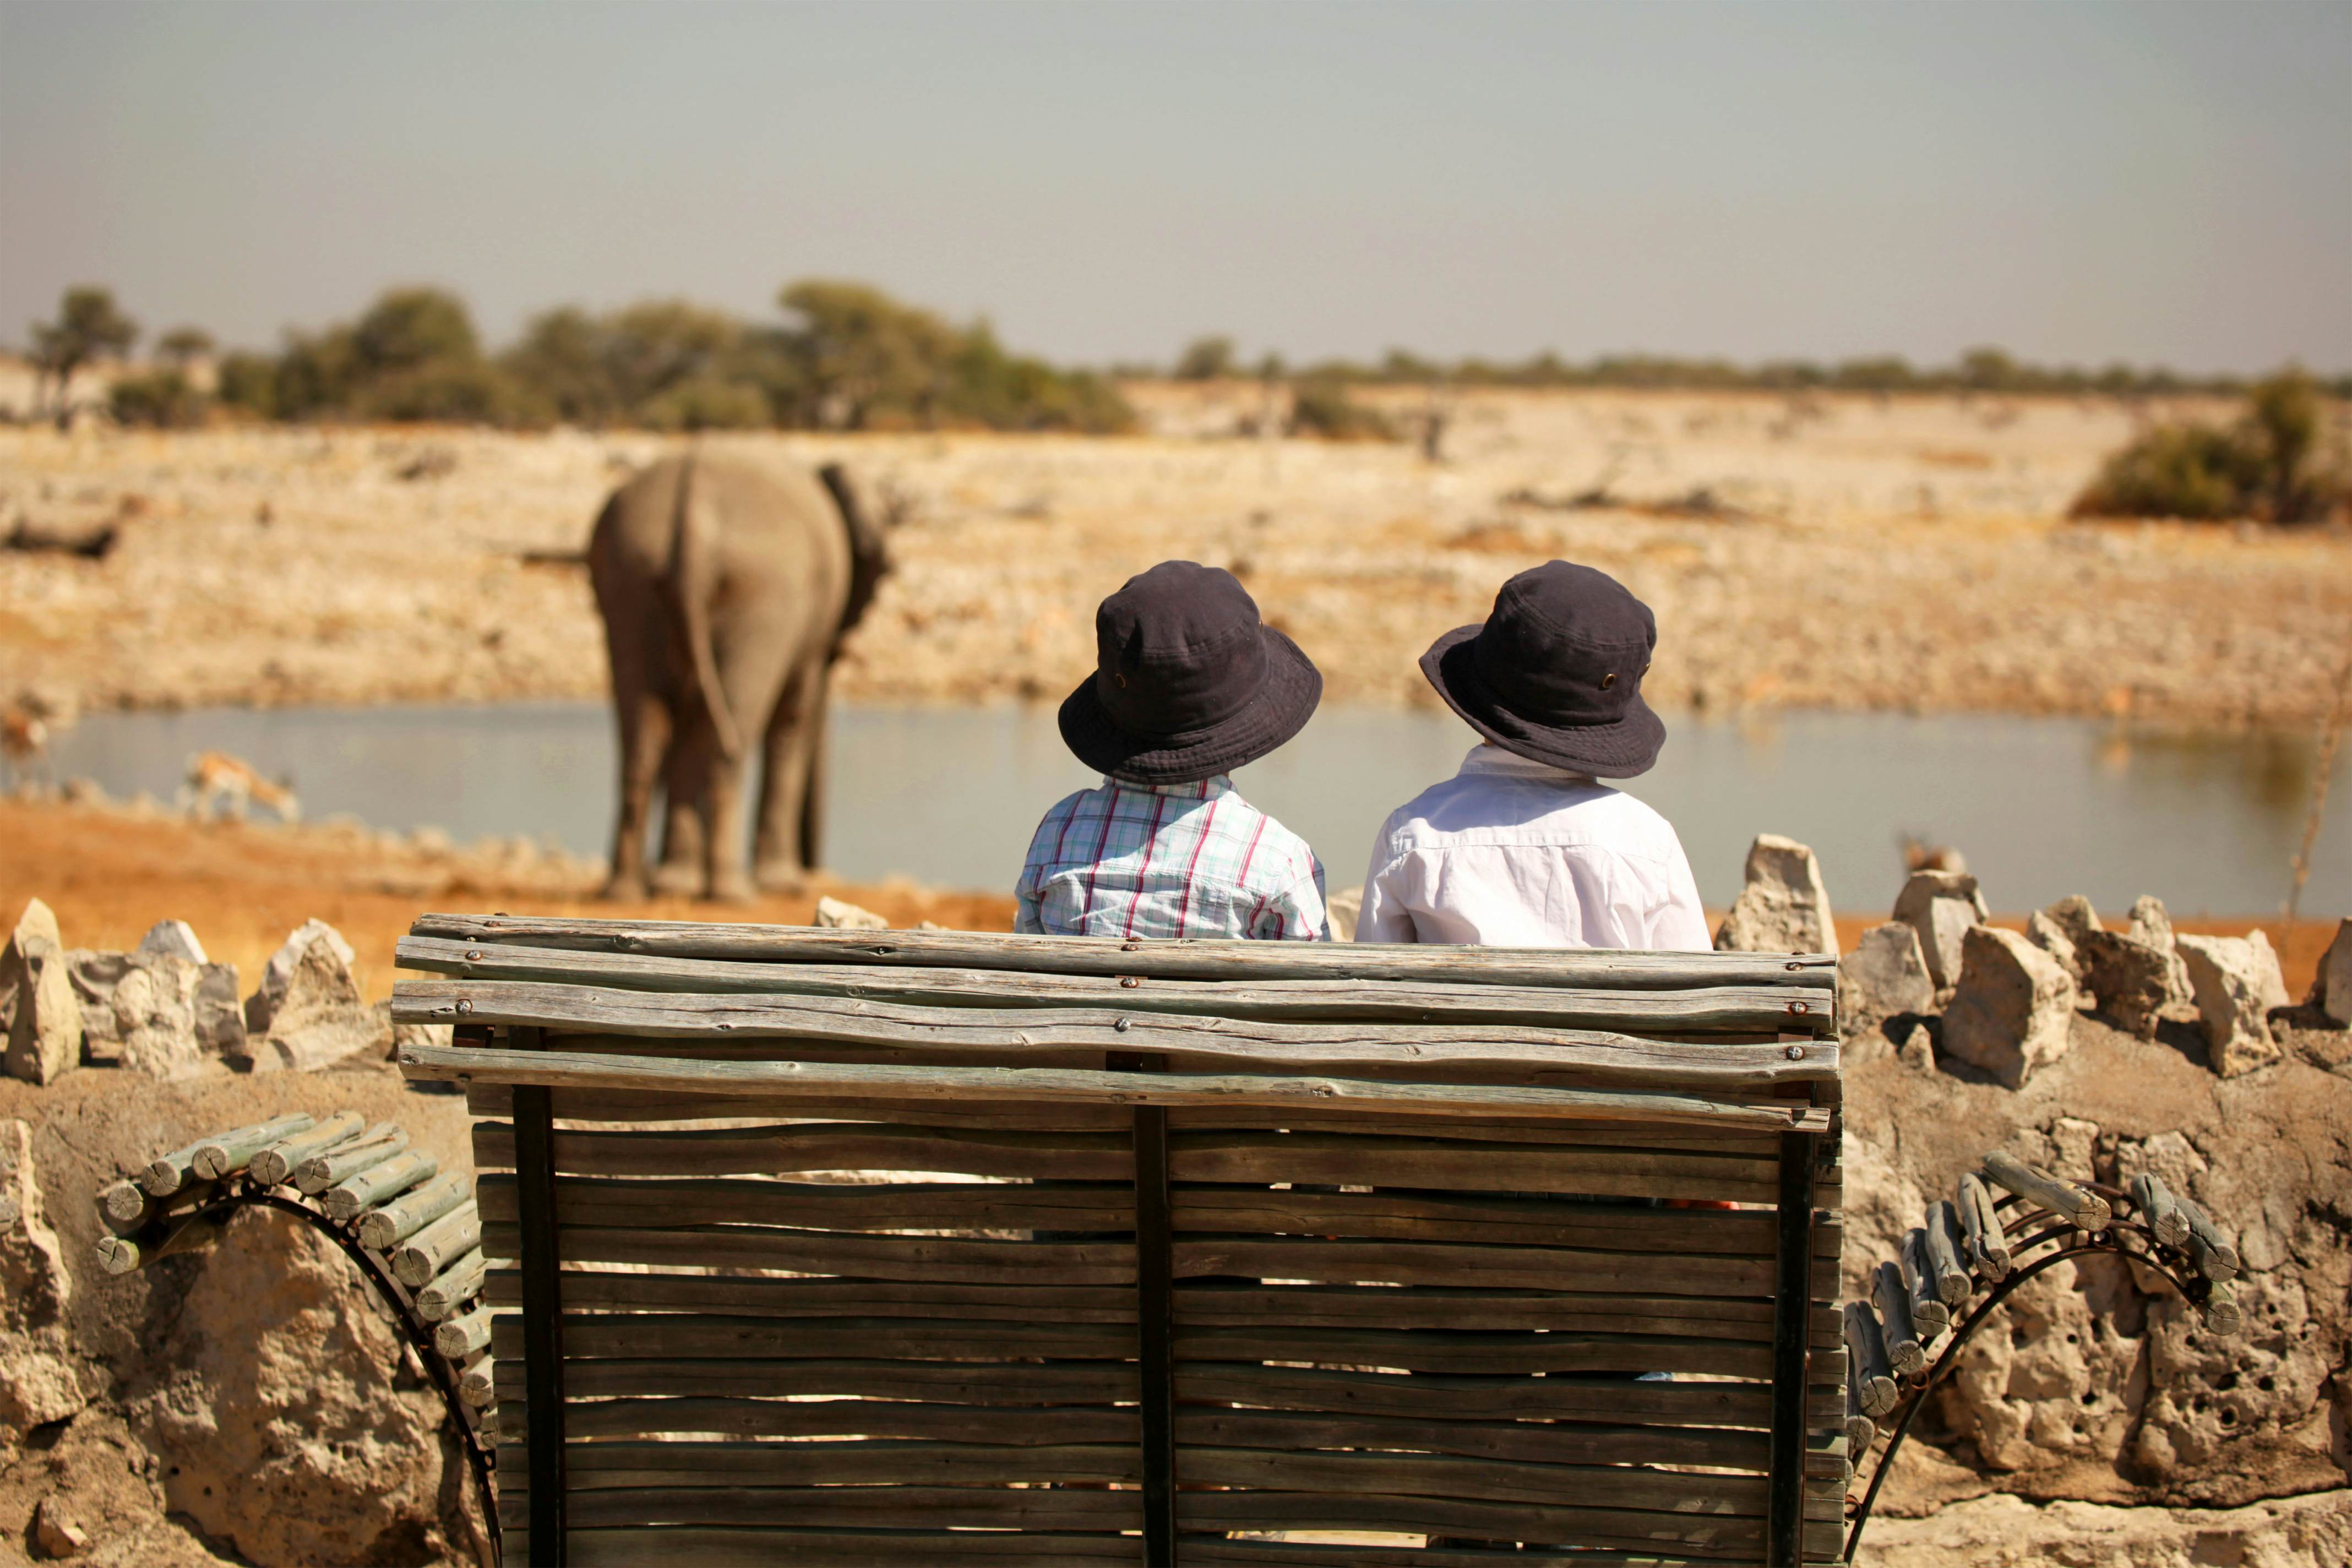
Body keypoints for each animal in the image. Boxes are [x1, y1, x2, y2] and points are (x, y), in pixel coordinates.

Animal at [587, 450, 891, 900]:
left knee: (645, 737)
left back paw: (633, 890)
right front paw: (782, 884)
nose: (813, 871)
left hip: (628, 573)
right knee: (729, 739)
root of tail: (694, 510)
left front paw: (674, 881)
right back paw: (732, 892)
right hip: (763, 592)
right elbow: (792, 720)